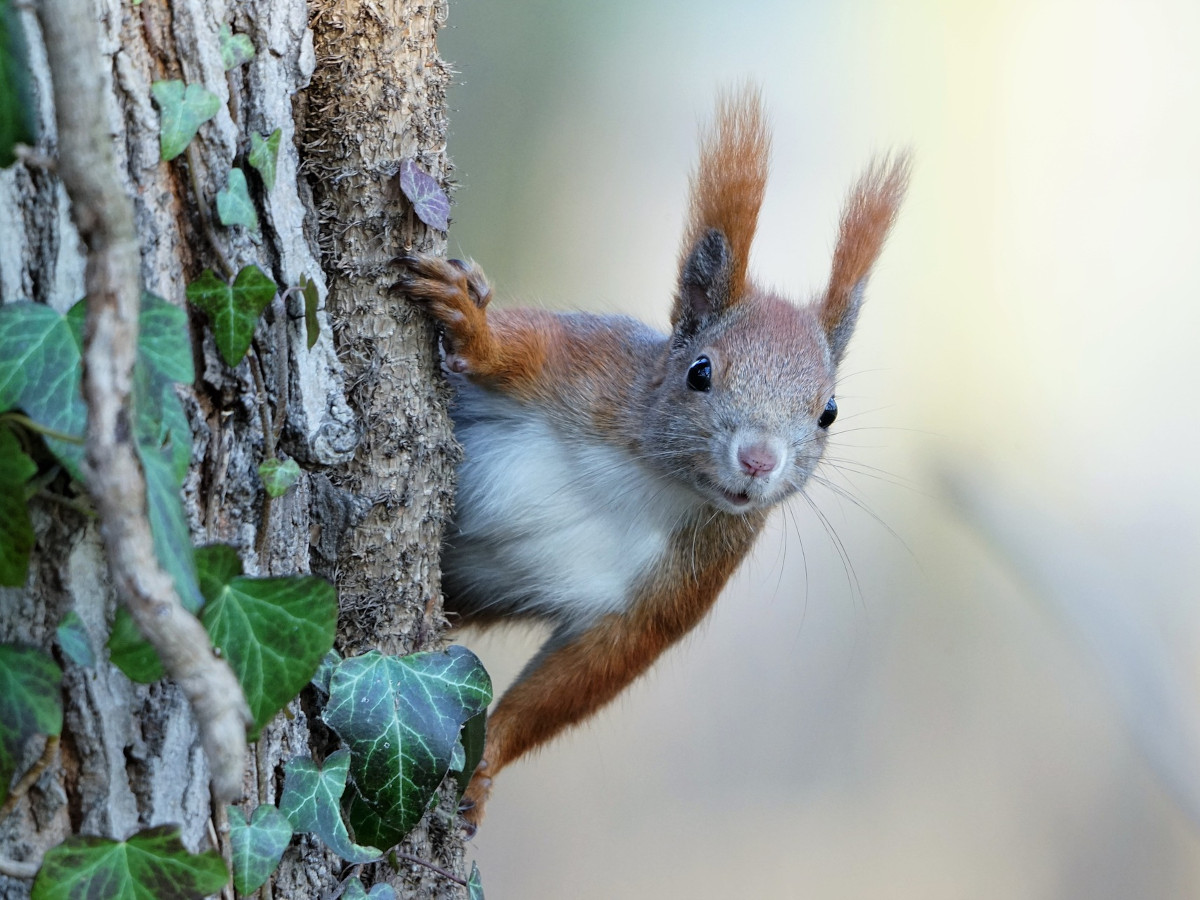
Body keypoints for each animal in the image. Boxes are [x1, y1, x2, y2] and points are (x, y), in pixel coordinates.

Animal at [396, 88, 907, 830]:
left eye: (828, 413)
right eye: (699, 372)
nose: (759, 460)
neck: (650, 477)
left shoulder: (687, 580)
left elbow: (587, 674)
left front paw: (485, 764)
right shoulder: (586, 364)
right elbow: (516, 347)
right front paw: (474, 325)